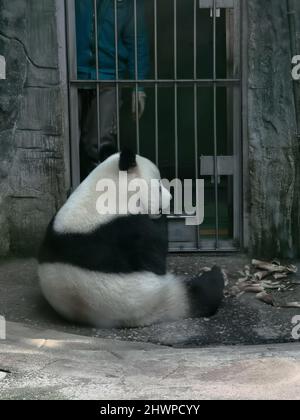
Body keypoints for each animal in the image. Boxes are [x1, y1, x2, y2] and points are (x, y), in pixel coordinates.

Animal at [37, 148, 224, 328]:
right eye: (158, 186)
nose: (170, 199)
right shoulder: (130, 230)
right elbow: (155, 257)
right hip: (161, 299)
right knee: (200, 294)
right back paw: (216, 274)